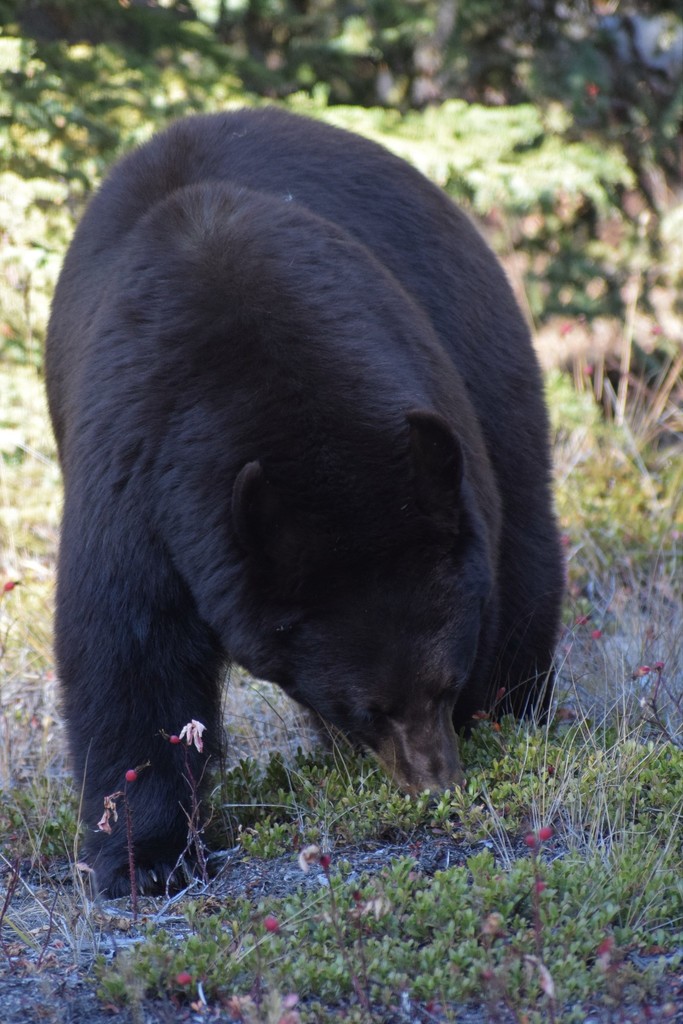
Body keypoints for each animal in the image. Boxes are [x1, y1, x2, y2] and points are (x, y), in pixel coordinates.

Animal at [46, 106, 564, 896]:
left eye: (445, 685)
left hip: (486, 358)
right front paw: (145, 855)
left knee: (526, 532)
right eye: (367, 709)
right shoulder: (134, 470)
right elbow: (126, 649)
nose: (436, 785)